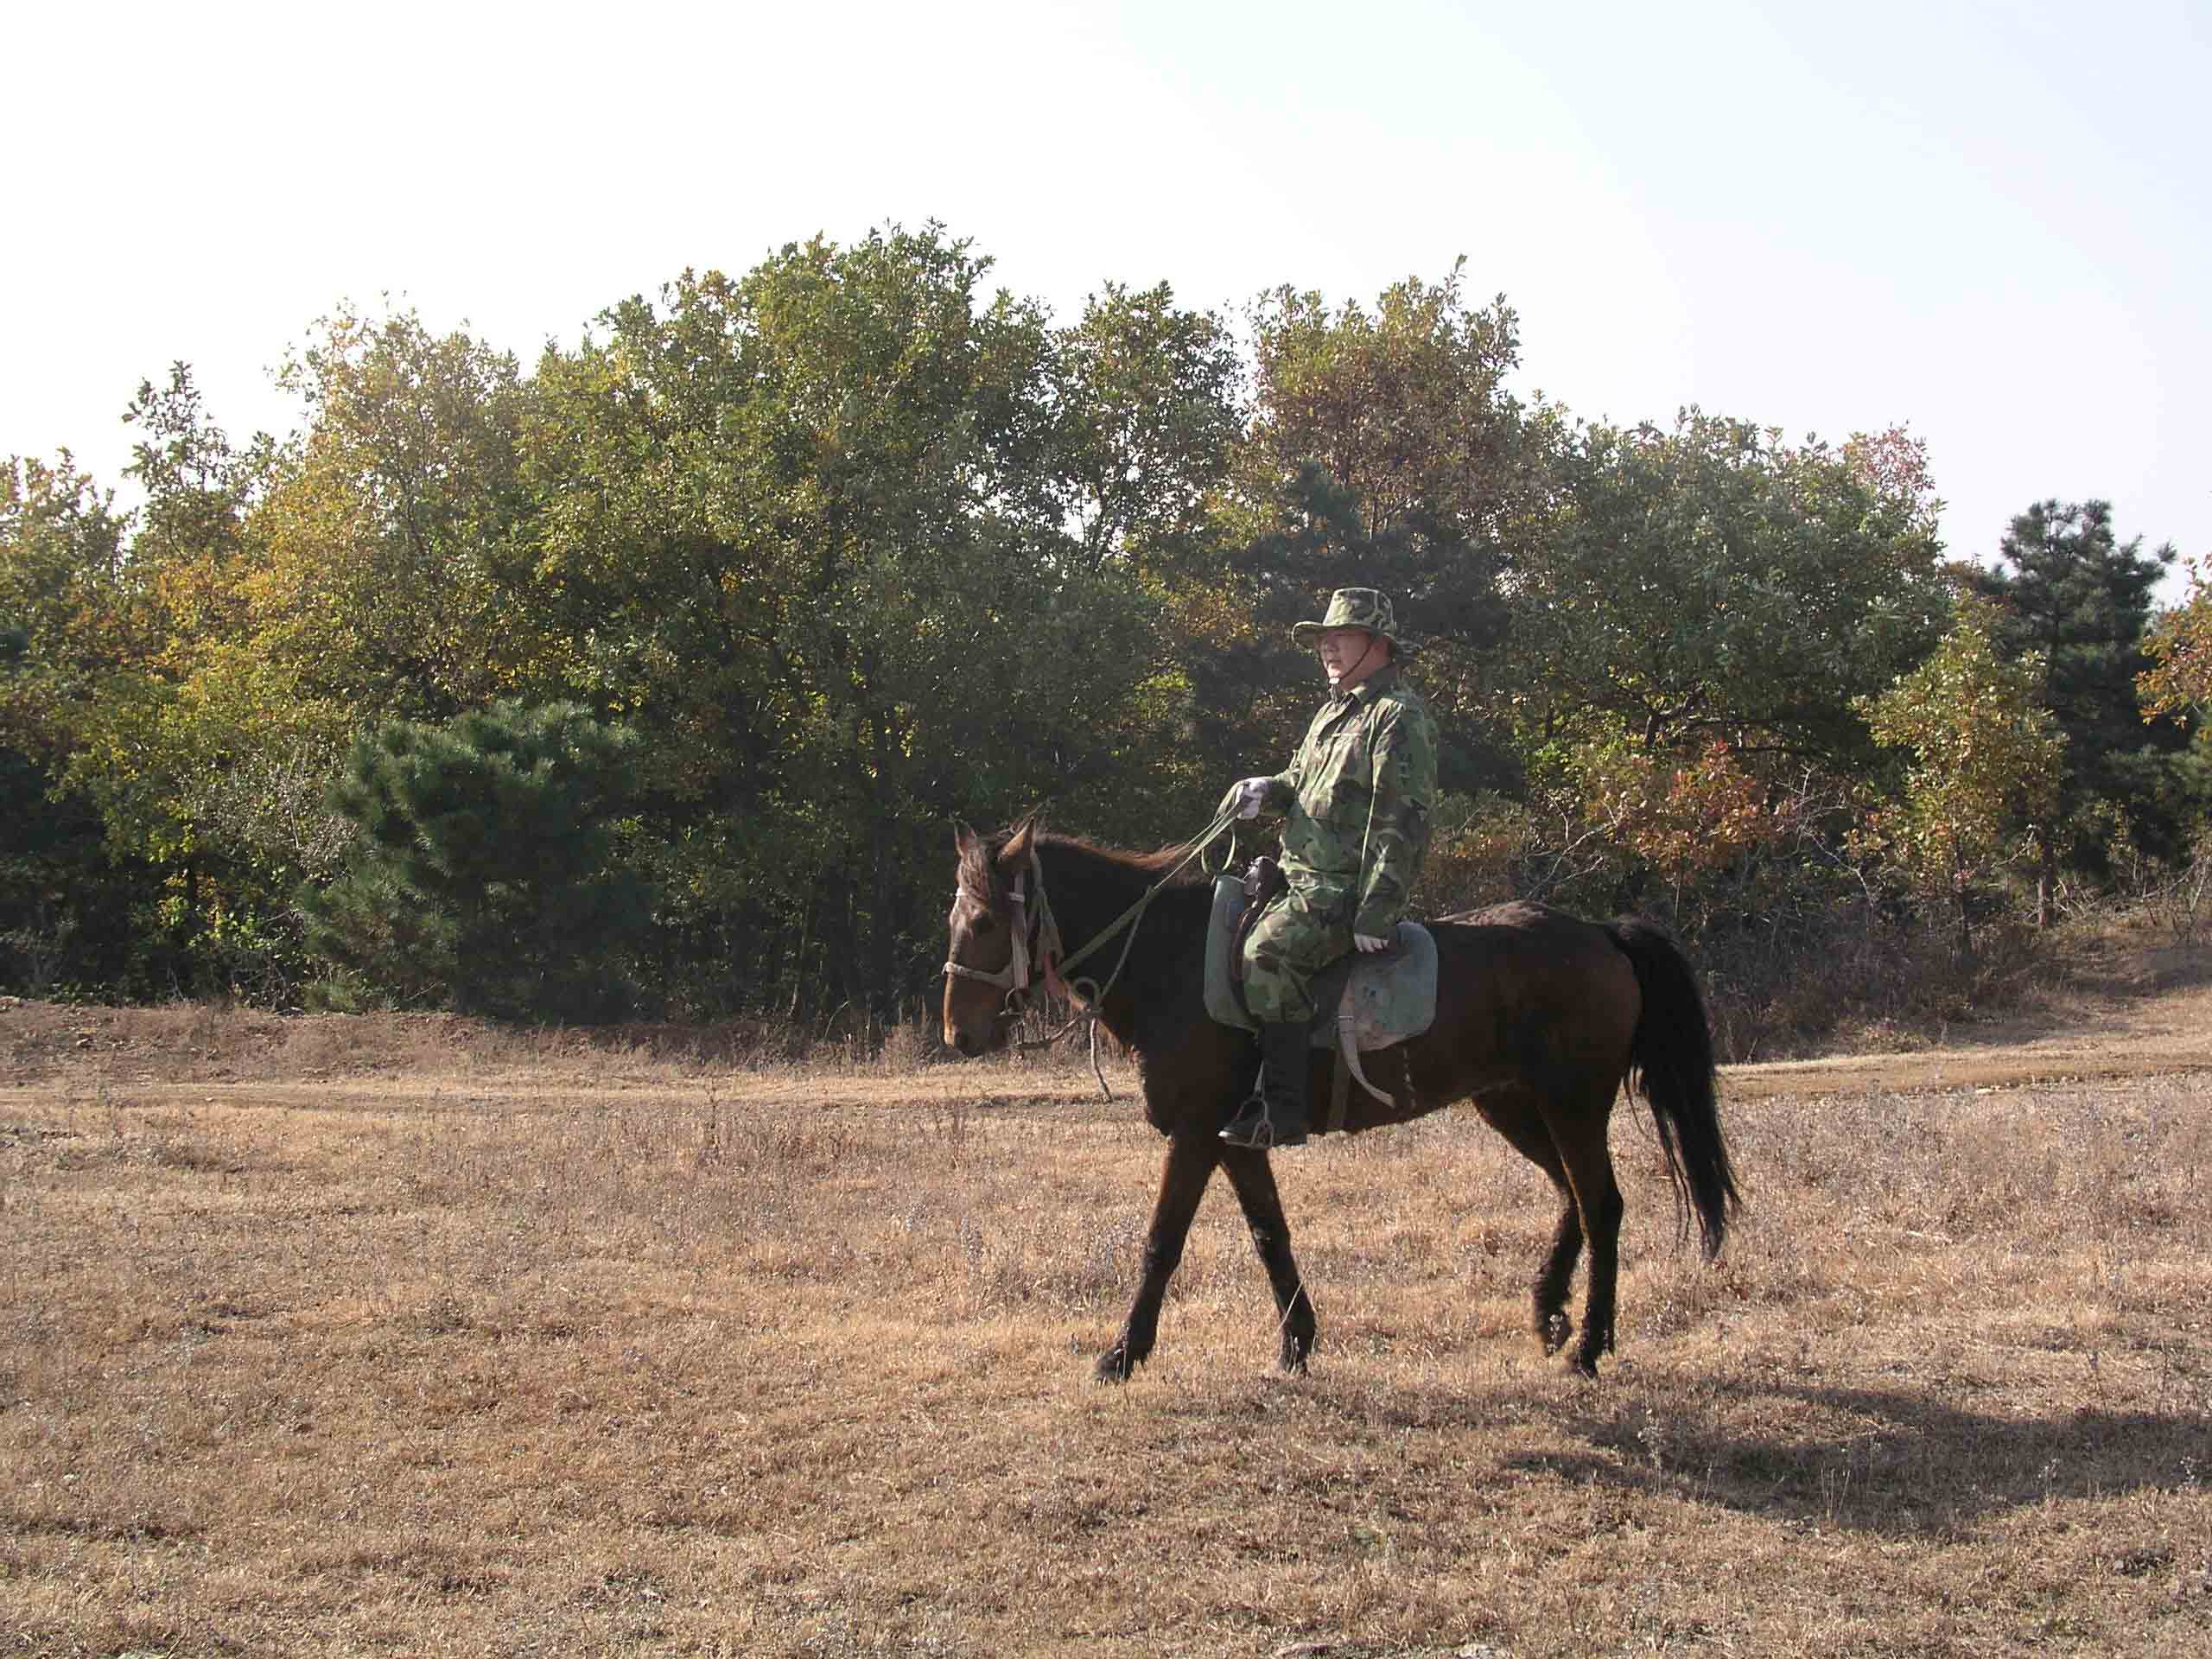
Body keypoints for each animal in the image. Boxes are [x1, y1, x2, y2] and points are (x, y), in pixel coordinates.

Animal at [942, 818, 1734, 1380]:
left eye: (984, 923)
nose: (958, 1033)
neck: (1171, 962)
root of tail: (1601, 933)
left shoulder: (1196, 1133)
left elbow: (1161, 1242)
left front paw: (1123, 1354)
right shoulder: (1235, 1141)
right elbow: (1271, 1235)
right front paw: (1297, 1344)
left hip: (1572, 1107)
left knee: (1601, 1206)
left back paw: (1590, 1346)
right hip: (1513, 1105)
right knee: (1572, 1198)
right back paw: (1549, 1314)